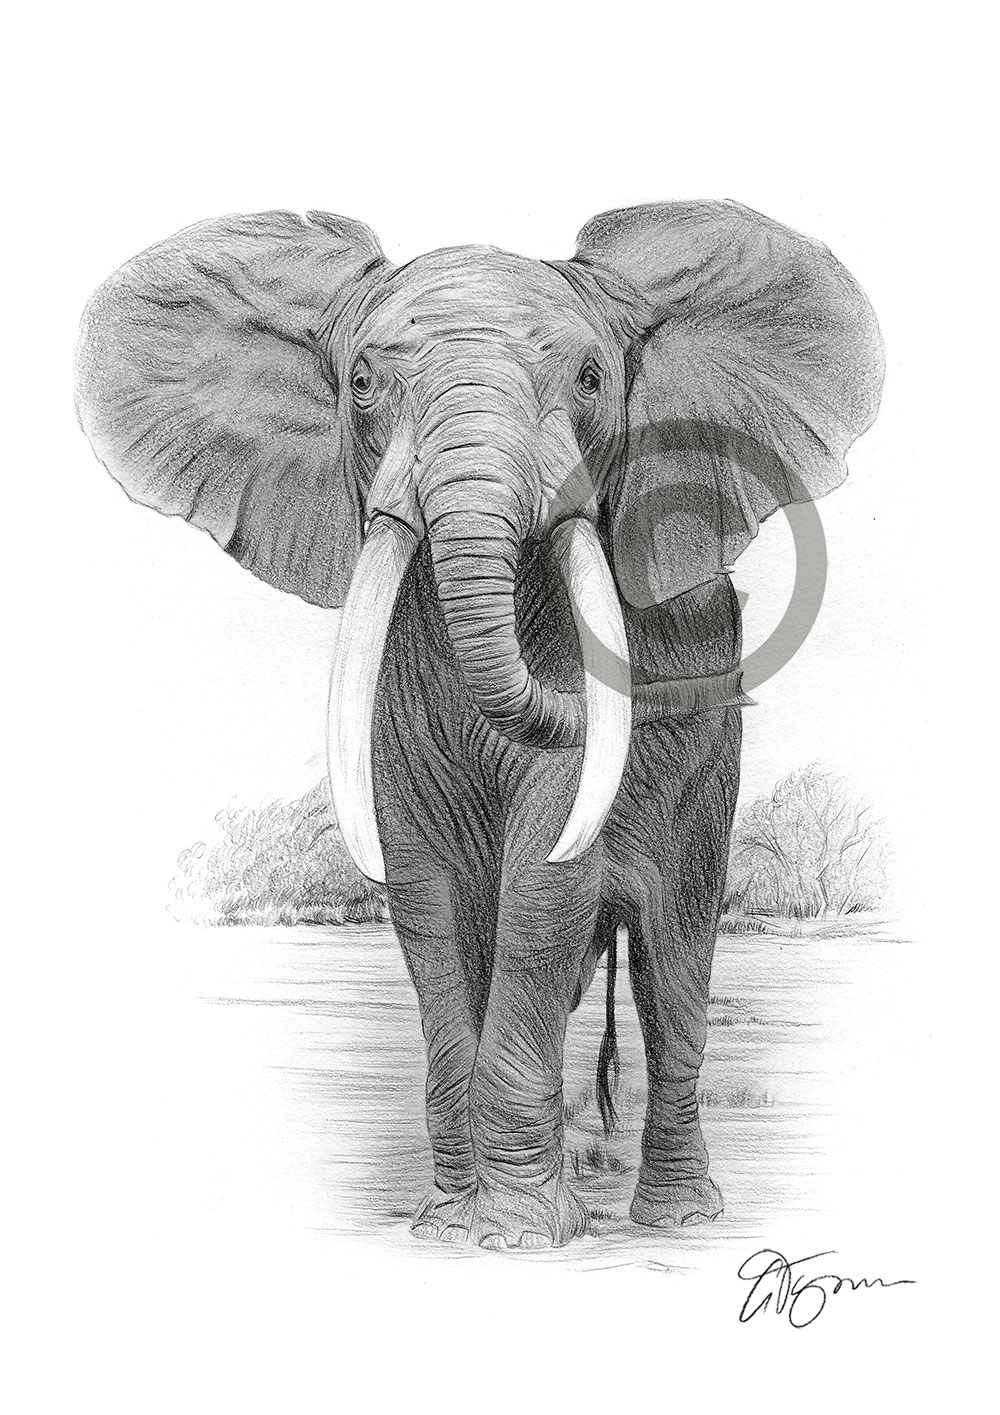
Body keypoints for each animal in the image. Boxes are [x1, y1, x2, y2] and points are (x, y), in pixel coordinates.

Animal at [75, 201, 883, 1250]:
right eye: (363, 382)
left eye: (590, 379)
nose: (666, 688)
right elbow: (422, 885)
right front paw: (447, 1224)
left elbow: (545, 876)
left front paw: (517, 1238)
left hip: (712, 779)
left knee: (674, 962)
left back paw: (676, 1218)